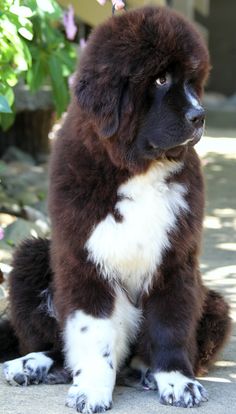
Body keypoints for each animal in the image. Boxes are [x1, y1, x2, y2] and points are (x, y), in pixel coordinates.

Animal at [0, 5, 231, 410]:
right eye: (160, 80)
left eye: (192, 81)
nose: (199, 116)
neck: (136, 169)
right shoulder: (83, 258)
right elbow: (93, 333)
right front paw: (92, 388)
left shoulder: (175, 260)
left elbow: (171, 326)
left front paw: (177, 381)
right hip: (32, 257)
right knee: (60, 349)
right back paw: (30, 364)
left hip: (215, 303)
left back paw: (143, 371)